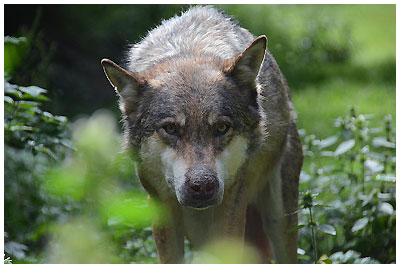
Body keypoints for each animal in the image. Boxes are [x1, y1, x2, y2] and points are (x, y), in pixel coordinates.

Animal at [101, 5, 304, 262]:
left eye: (221, 128)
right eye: (171, 128)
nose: (202, 186)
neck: (189, 50)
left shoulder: (232, 203)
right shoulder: (161, 207)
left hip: (279, 219)